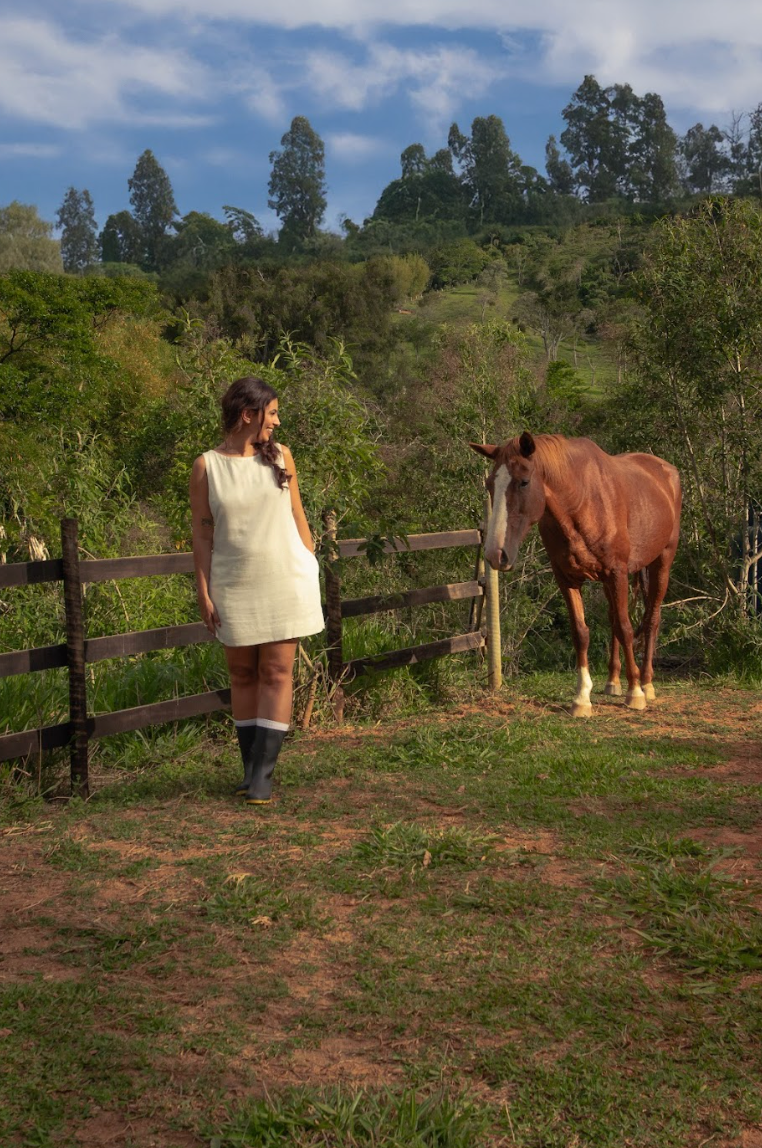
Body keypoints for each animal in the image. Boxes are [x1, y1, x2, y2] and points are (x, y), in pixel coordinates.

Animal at [472, 431, 679, 711]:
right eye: (490, 485)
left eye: (524, 482)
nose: (496, 554)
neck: (581, 502)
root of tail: (665, 470)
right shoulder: (567, 577)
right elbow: (581, 632)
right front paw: (582, 698)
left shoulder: (617, 572)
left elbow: (626, 628)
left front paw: (635, 692)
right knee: (614, 621)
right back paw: (613, 681)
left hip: (662, 562)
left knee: (651, 620)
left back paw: (646, 683)